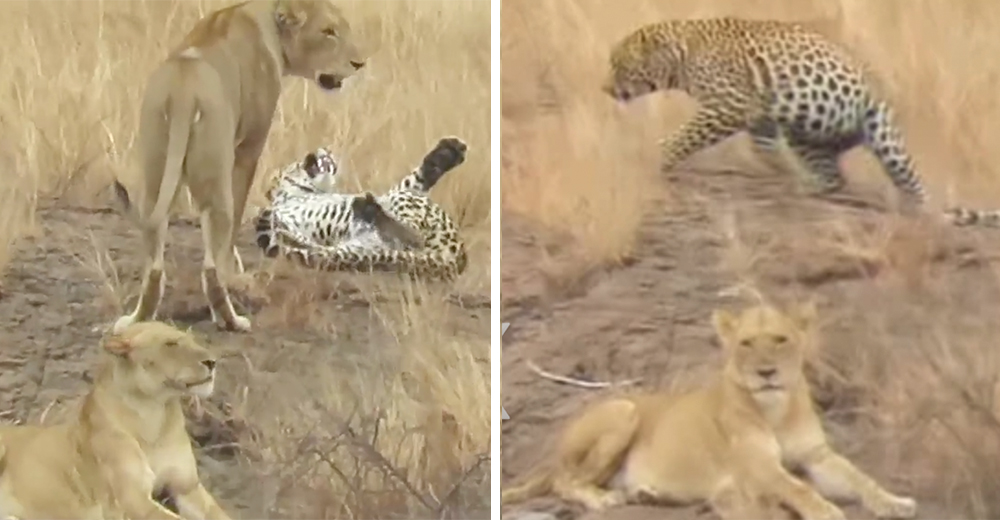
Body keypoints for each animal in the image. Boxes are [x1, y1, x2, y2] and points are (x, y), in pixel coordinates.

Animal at [252, 135, 466, 280]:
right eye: (295, 163)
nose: (324, 150)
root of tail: (457, 259)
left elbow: (411, 180)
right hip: (365, 246)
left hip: (398, 209)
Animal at [600, 17, 1000, 228]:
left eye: (619, 65)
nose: (605, 89)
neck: (681, 56)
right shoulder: (757, 118)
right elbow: (764, 150)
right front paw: (780, 171)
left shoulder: (726, 107)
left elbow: (684, 137)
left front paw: (661, 156)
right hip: (809, 138)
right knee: (833, 178)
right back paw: (804, 187)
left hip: (882, 131)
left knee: (914, 188)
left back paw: (928, 213)